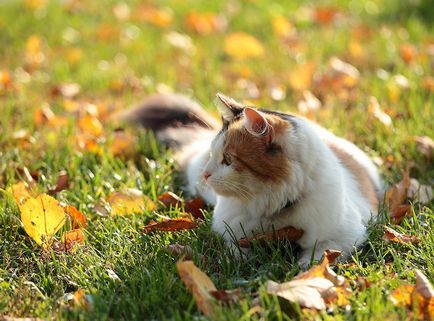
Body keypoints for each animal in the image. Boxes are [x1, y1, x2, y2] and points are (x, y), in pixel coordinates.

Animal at [124, 92, 382, 264]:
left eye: (228, 159)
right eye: (214, 154)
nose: (206, 174)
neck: (272, 206)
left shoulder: (345, 234)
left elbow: (318, 257)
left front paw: (302, 271)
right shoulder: (229, 232)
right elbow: (236, 251)